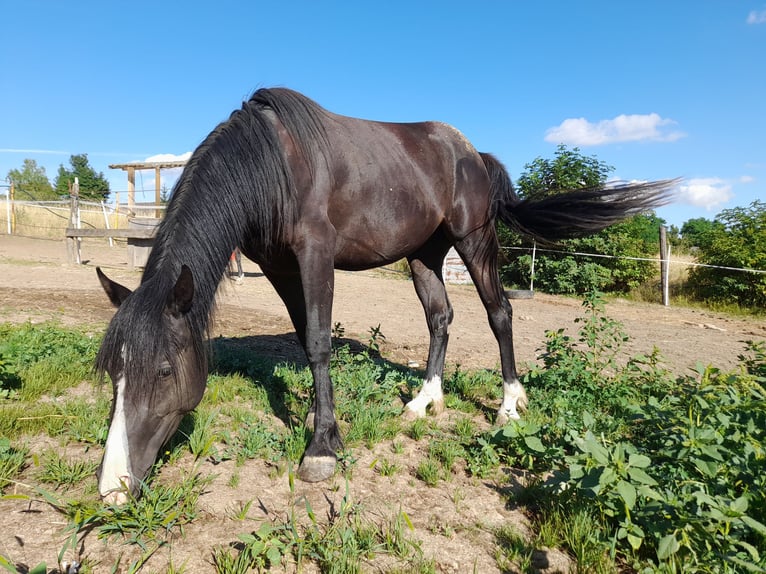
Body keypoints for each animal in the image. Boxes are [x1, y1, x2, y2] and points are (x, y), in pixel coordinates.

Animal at [93, 88, 676, 506]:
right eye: (114, 370)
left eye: (164, 370)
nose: (114, 488)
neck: (272, 165)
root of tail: (472, 154)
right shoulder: (279, 266)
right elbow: (306, 336)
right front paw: (321, 418)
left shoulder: (315, 254)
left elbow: (319, 342)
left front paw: (321, 448)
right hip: (424, 255)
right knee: (441, 317)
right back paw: (423, 401)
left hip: (474, 240)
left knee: (499, 313)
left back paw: (510, 404)